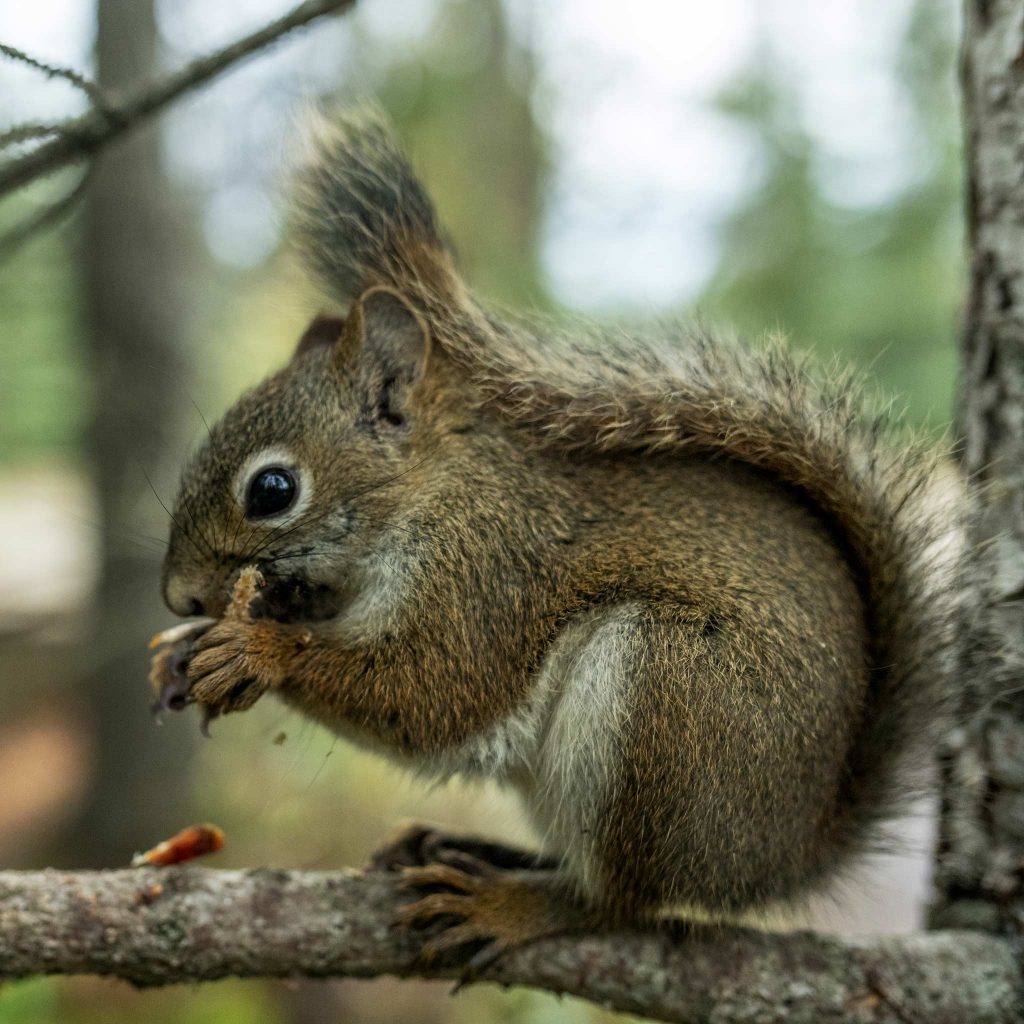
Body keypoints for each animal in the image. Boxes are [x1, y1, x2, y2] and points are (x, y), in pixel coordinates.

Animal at [159, 108, 958, 962]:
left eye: (272, 490)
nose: (177, 595)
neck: (427, 496)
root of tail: (782, 859)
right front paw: (182, 653)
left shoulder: (488, 567)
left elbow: (432, 690)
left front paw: (258, 648)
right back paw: (467, 849)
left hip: (670, 701)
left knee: (618, 902)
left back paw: (513, 903)